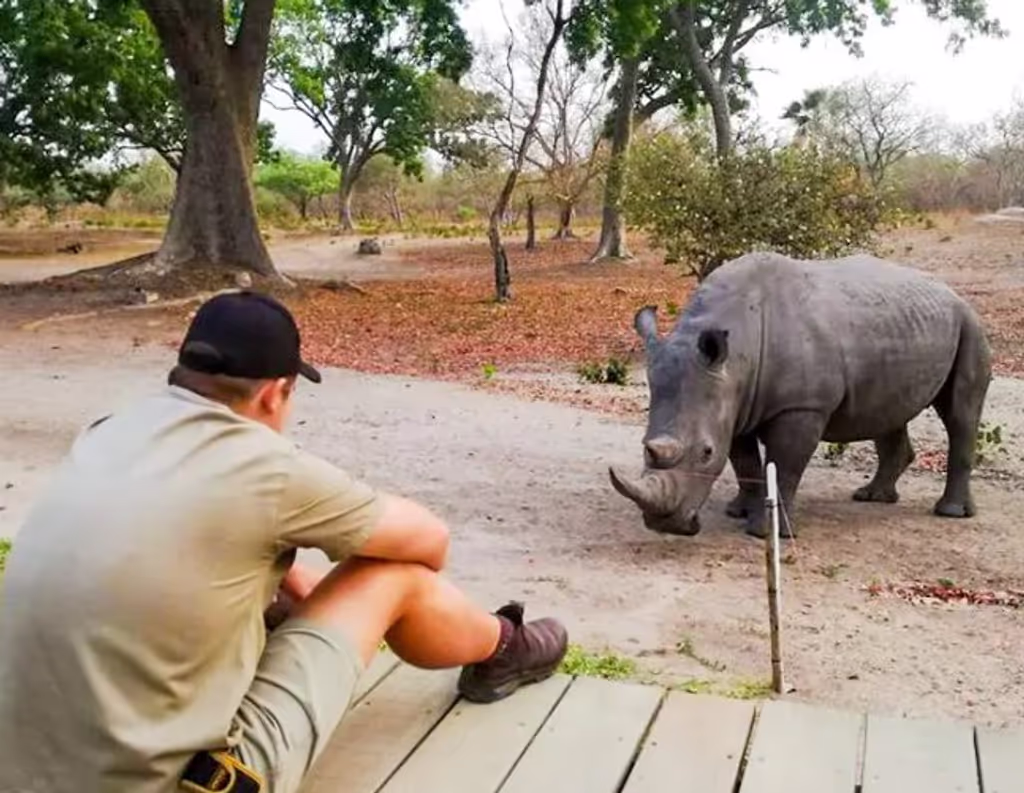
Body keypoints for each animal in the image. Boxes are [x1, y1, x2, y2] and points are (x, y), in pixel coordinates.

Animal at [609, 251, 992, 539]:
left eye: (705, 453)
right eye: (645, 446)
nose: (665, 526)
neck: (737, 354)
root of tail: (950, 291)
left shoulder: (801, 407)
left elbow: (785, 464)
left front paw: (765, 532)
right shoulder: (733, 403)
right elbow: (745, 462)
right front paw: (739, 511)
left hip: (969, 324)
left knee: (959, 414)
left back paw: (950, 512)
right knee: (887, 411)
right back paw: (872, 497)